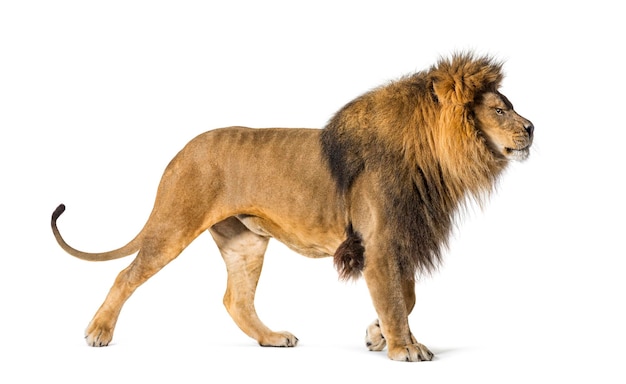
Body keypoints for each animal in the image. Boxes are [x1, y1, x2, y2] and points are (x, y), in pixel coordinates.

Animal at [51, 52, 532, 362]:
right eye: (499, 110)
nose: (531, 126)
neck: (432, 157)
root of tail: (180, 152)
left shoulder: (399, 240)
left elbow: (405, 296)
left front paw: (376, 335)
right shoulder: (378, 243)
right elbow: (395, 299)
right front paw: (404, 348)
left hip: (245, 242)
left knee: (235, 300)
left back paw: (271, 338)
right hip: (174, 224)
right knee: (126, 274)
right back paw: (99, 333)